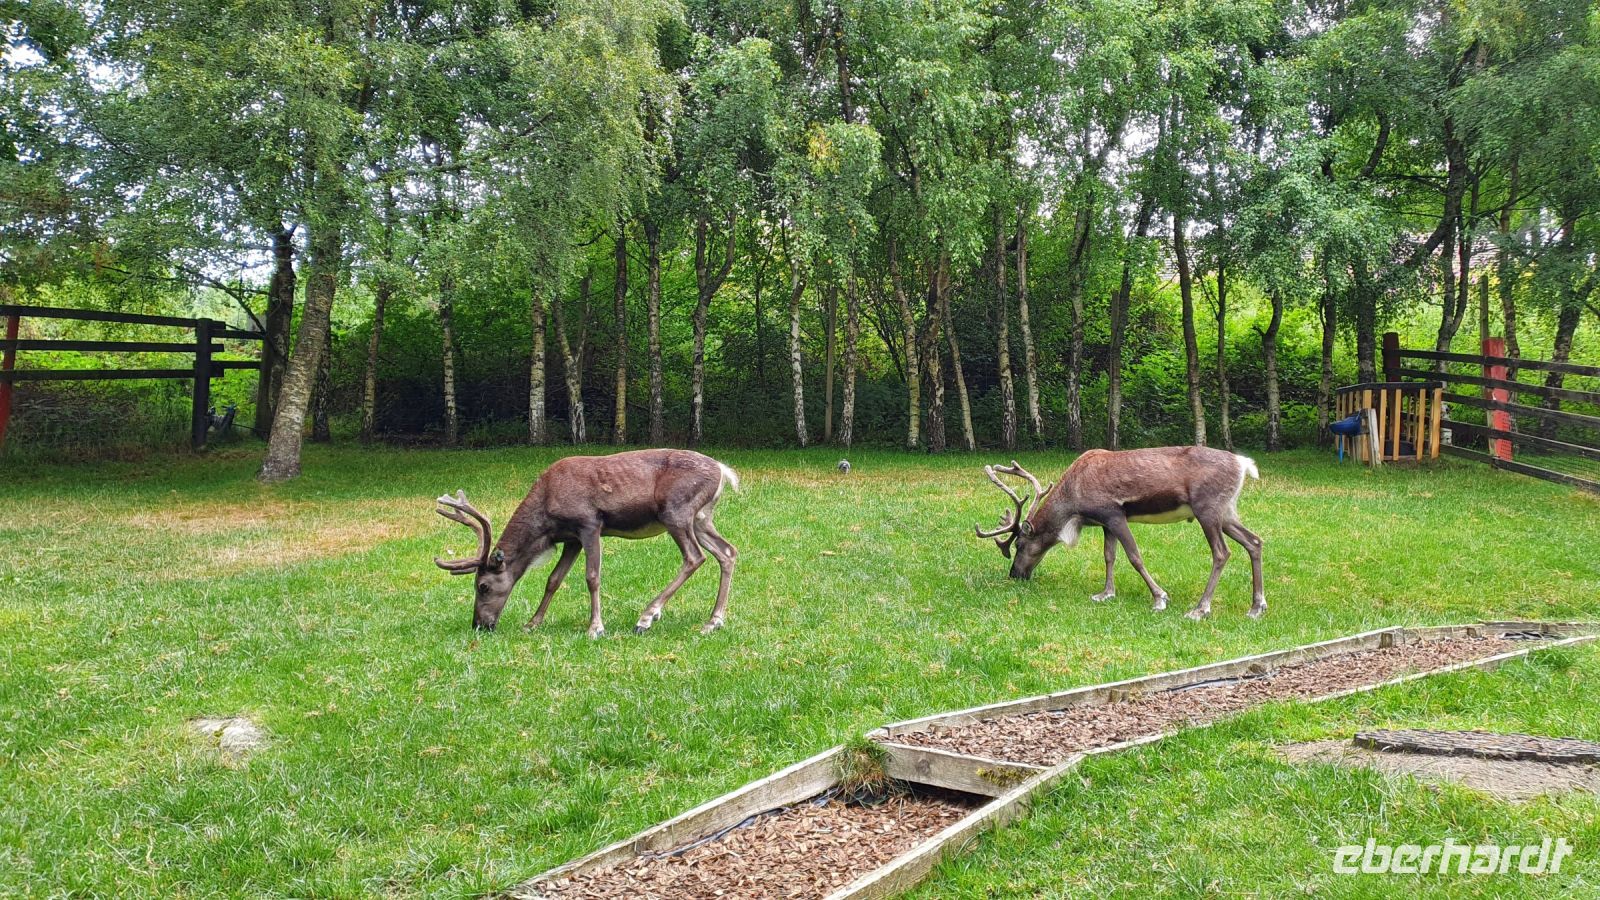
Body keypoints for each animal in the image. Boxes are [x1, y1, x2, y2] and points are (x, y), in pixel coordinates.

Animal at [432, 449, 740, 637]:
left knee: (694, 557)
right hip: (701, 518)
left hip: (676, 511)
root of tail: (723, 471)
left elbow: (592, 577)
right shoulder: (571, 539)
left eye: (483, 586)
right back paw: (714, 621)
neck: (546, 521)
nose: (479, 625)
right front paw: (532, 623)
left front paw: (595, 628)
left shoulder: (589, 524)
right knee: (727, 551)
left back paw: (646, 617)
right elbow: (553, 579)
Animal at [974, 447, 1265, 619]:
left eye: (1019, 544)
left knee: (1222, 552)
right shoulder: (1106, 523)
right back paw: (1256, 606)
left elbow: (1134, 557)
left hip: (1208, 509)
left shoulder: (1114, 514)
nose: (1015, 574)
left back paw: (1200, 608)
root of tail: (1244, 464)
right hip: (1226, 513)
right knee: (1254, 541)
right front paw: (1105, 593)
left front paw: (1159, 598)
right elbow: (1109, 556)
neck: (1073, 507)